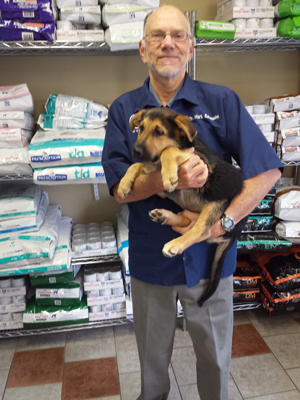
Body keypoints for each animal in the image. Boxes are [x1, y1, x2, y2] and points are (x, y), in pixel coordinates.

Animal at [117, 107, 246, 306]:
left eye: (159, 132)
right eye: (141, 128)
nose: (135, 151)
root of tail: (237, 232)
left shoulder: (197, 160)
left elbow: (168, 150)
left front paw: (169, 174)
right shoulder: (162, 189)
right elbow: (138, 165)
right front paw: (124, 184)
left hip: (217, 204)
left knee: (202, 230)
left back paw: (175, 244)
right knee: (187, 221)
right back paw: (164, 216)